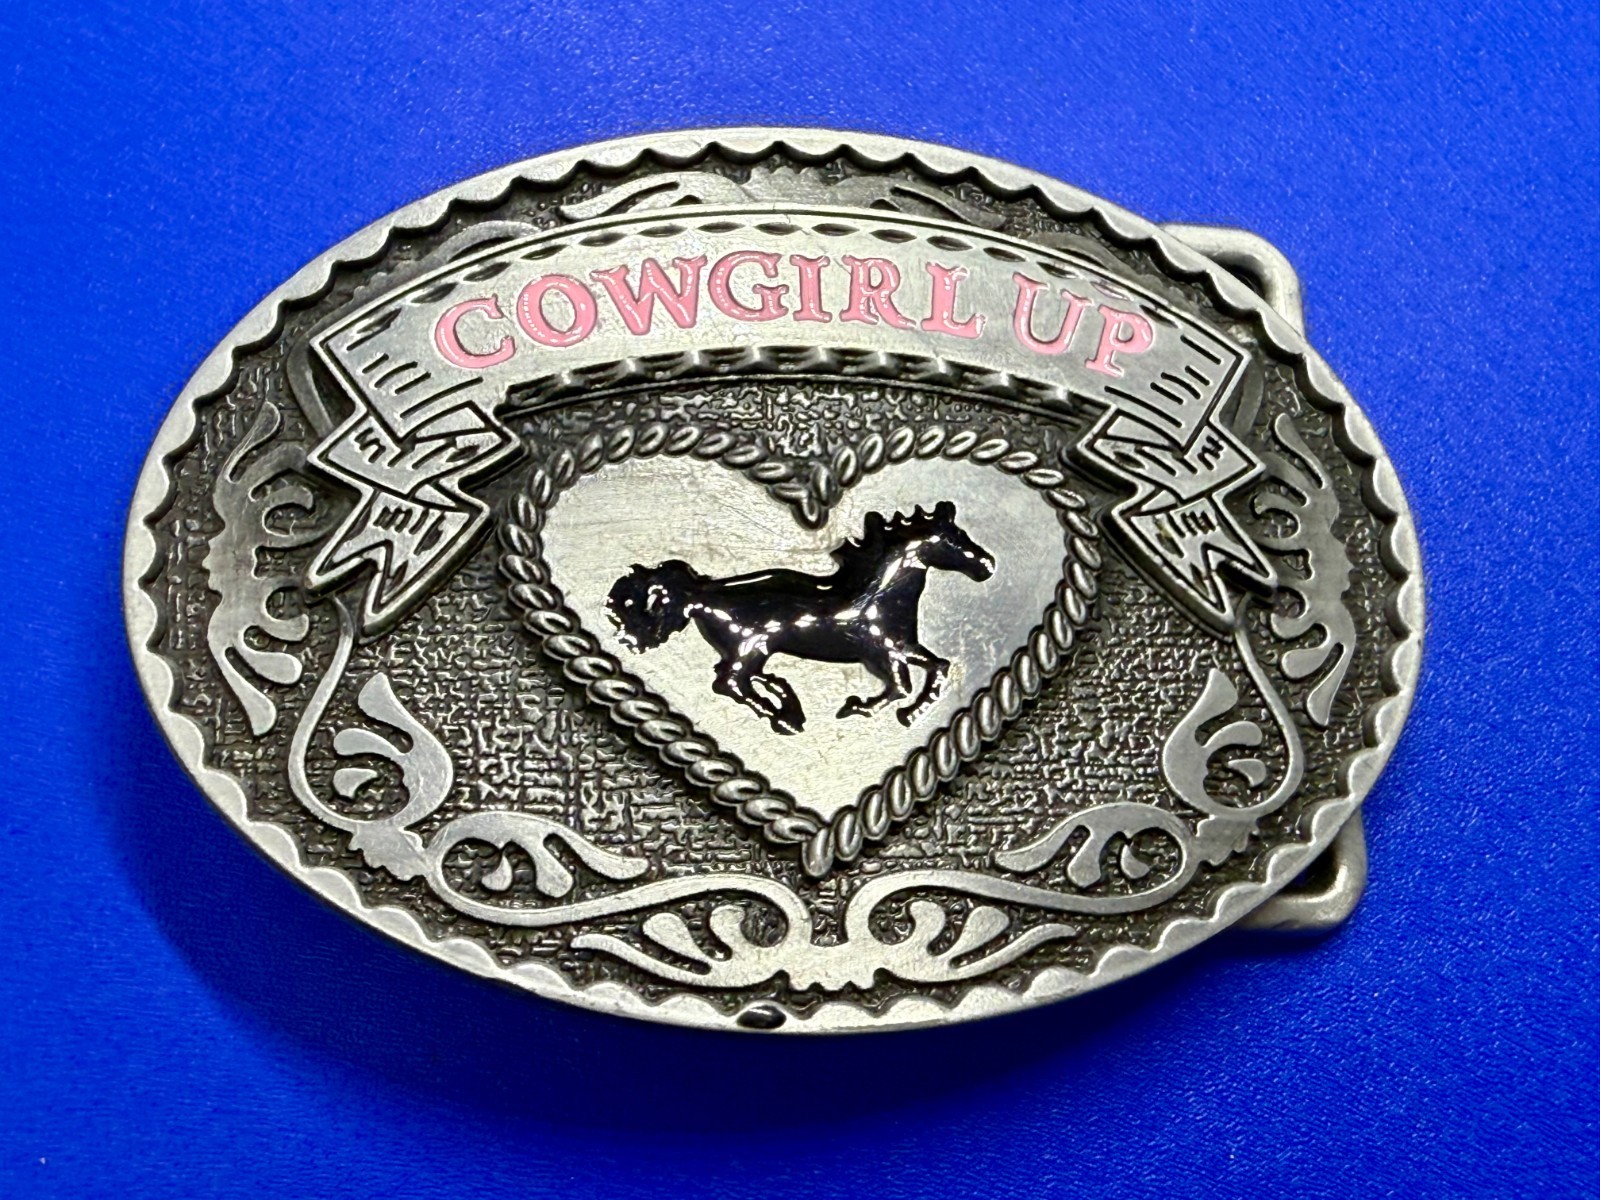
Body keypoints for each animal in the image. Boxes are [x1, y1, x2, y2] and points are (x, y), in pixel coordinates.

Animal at [604, 500, 994, 734]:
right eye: (953, 540)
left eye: (961, 534)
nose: (987, 566)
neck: (878, 597)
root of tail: (699, 595)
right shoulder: (882, 652)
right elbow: (902, 686)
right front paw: (859, 708)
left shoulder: (902, 648)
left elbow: (937, 666)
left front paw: (910, 713)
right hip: (749, 647)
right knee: (729, 682)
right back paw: (785, 718)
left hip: (755, 650)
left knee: (742, 678)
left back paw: (785, 699)